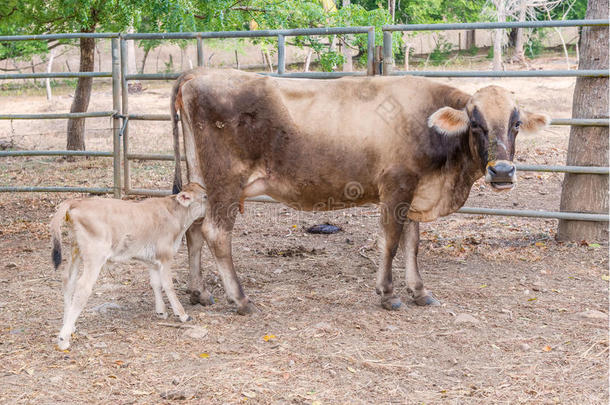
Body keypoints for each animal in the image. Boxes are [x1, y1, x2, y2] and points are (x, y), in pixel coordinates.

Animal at [50, 181, 207, 348]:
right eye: (205, 196)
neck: (176, 216)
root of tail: (77, 202)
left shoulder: (153, 260)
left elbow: (156, 283)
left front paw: (161, 311)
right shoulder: (165, 256)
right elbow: (168, 285)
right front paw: (182, 314)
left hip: (76, 249)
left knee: (68, 280)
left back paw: (68, 326)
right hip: (95, 254)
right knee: (83, 287)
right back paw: (64, 338)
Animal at [170, 69, 548, 314]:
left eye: (516, 123)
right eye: (475, 123)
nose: (502, 172)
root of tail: (198, 75)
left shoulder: (415, 191)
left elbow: (412, 243)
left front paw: (420, 291)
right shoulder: (396, 186)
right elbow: (391, 241)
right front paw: (388, 294)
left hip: (202, 180)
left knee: (194, 230)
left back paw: (199, 292)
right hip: (226, 181)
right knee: (216, 232)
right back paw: (240, 299)